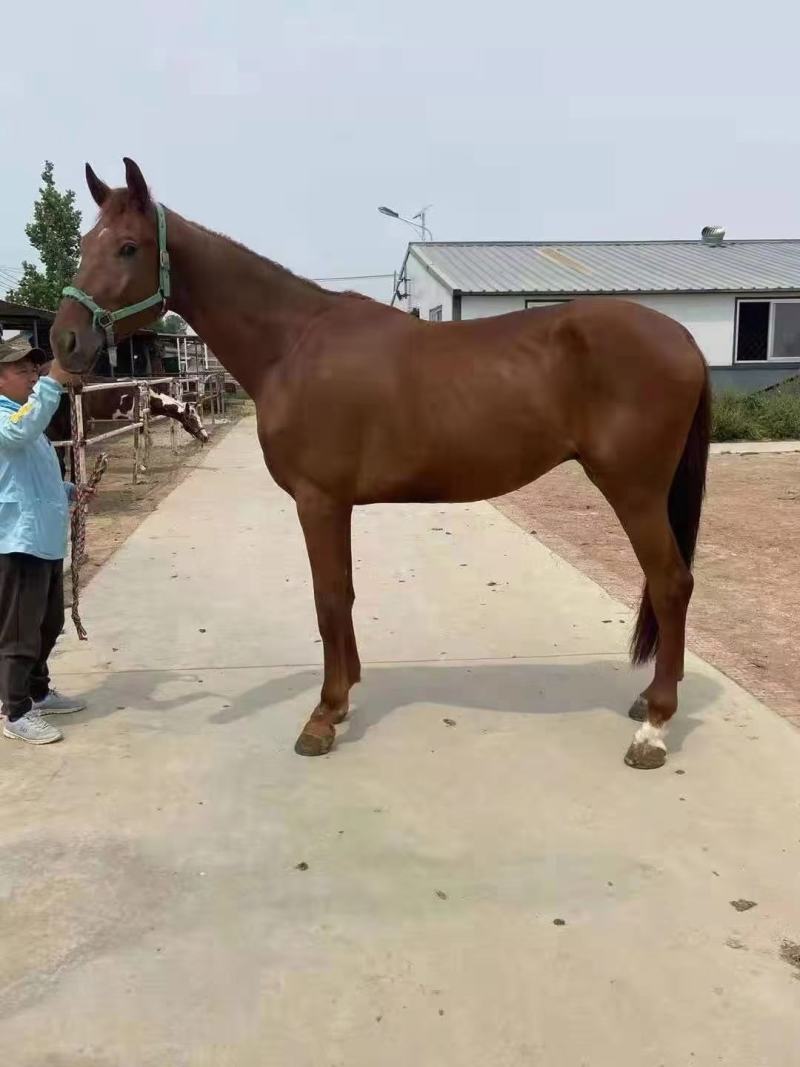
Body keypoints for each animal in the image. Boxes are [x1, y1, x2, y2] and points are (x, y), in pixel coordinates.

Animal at [51, 158, 711, 772]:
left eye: (128, 246)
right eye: (84, 243)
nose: (64, 342)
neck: (294, 344)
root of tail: (682, 336)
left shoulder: (319, 500)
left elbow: (328, 598)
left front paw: (323, 716)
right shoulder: (333, 503)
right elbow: (341, 595)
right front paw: (343, 701)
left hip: (634, 490)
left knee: (671, 583)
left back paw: (653, 728)